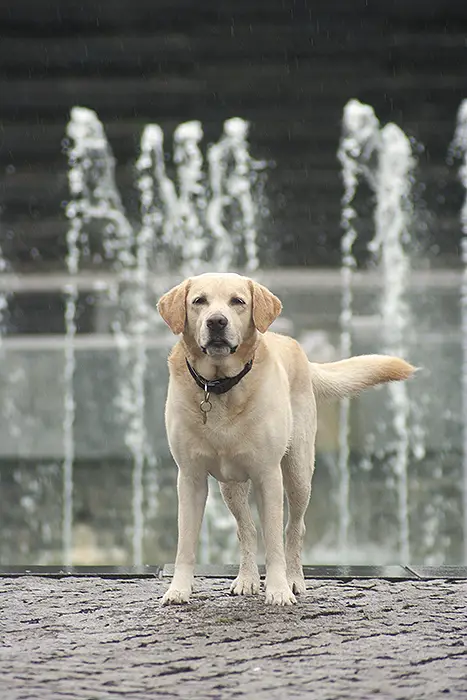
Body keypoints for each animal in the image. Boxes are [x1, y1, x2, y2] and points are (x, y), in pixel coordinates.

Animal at [159, 274, 414, 608]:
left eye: (238, 301)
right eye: (199, 301)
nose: (216, 322)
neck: (219, 387)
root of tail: (295, 345)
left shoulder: (268, 475)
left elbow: (275, 541)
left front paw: (279, 590)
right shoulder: (190, 478)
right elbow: (185, 542)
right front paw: (178, 589)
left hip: (298, 473)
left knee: (295, 528)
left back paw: (294, 579)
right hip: (231, 486)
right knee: (246, 529)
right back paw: (247, 579)